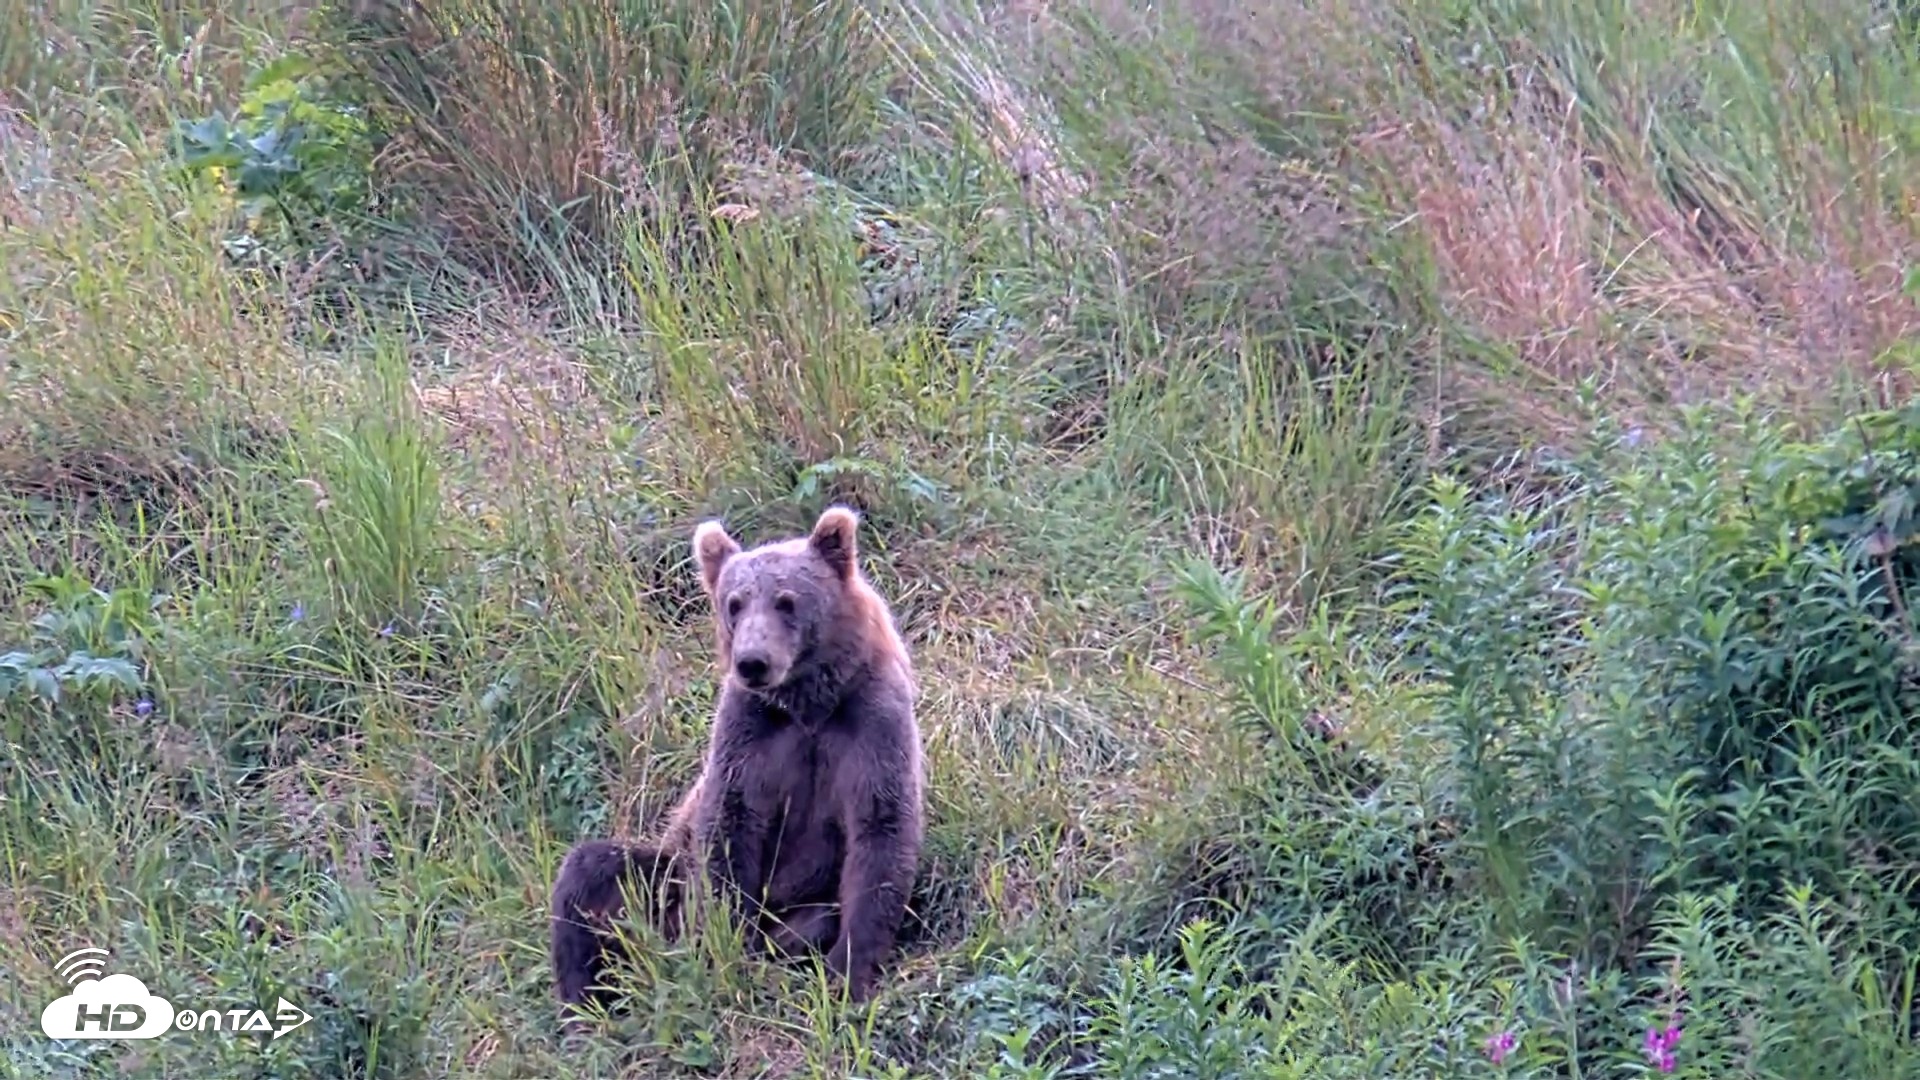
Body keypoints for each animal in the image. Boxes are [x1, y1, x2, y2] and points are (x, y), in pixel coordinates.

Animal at [548, 505, 926, 1018]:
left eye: (786, 601)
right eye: (734, 603)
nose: (752, 661)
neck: (808, 704)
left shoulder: (870, 724)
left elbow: (881, 829)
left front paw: (849, 970)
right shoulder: (750, 731)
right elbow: (730, 823)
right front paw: (721, 945)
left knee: (818, 914)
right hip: (668, 877)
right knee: (592, 872)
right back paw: (585, 999)